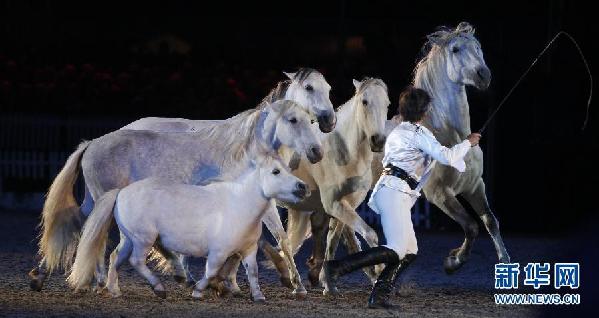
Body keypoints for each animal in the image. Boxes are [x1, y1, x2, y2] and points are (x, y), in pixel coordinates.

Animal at [68, 155, 310, 302]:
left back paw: (114, 290)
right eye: (275, 172)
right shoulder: (218, 252)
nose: (302, 187)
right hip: (143, 239)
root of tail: (121, 192)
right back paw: (159, 288)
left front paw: (258, 296)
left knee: (116, 258)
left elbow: (253, 272)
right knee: (136, 261)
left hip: (130, 238)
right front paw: (198, 291)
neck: (239, 204)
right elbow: (211, 272)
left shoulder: (249, 250)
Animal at [262, 77, 390, 294]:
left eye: (387, 104)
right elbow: (370, 234)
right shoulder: (333, 204)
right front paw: (379, 273)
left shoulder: (346, 204)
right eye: (364, 102)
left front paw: (329, 284)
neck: (343, 154)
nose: (378, 141)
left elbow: (334, 239)